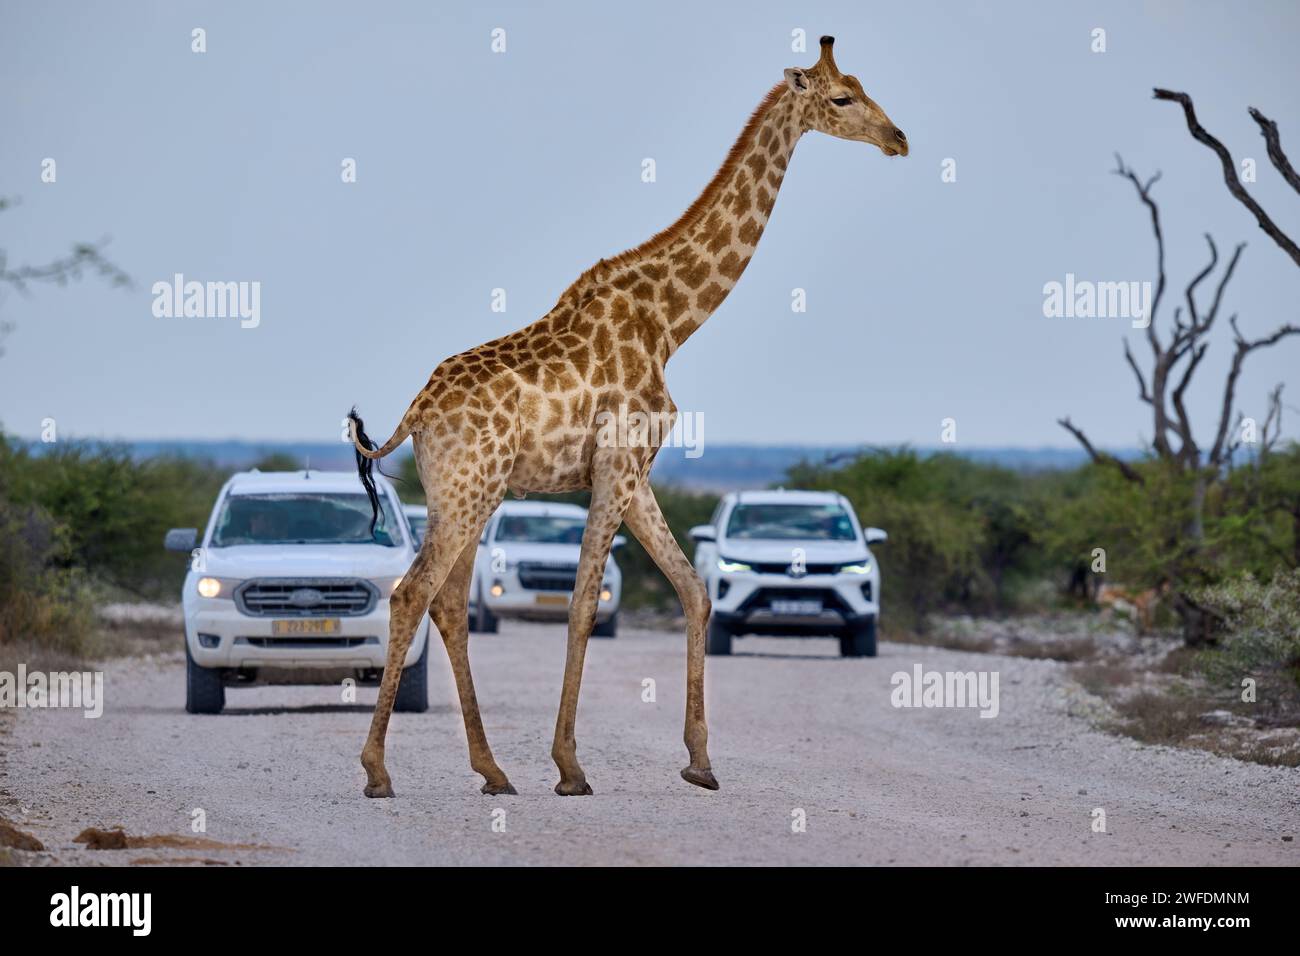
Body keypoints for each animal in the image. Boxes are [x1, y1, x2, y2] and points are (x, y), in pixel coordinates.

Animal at [347, 36, 907, 798]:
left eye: (865, 85)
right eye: (843, 97)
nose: (898, 138)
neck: (670, 322)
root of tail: (417, 411)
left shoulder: (632, 472)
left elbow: (693, 590)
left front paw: (700, 762)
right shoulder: (617, 465)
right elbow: (584, 603)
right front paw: (569, 766)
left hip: (464, 493)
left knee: (448, 603)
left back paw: (492, 770)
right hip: (470, 492)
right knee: (412, 595)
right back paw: (378, 770)